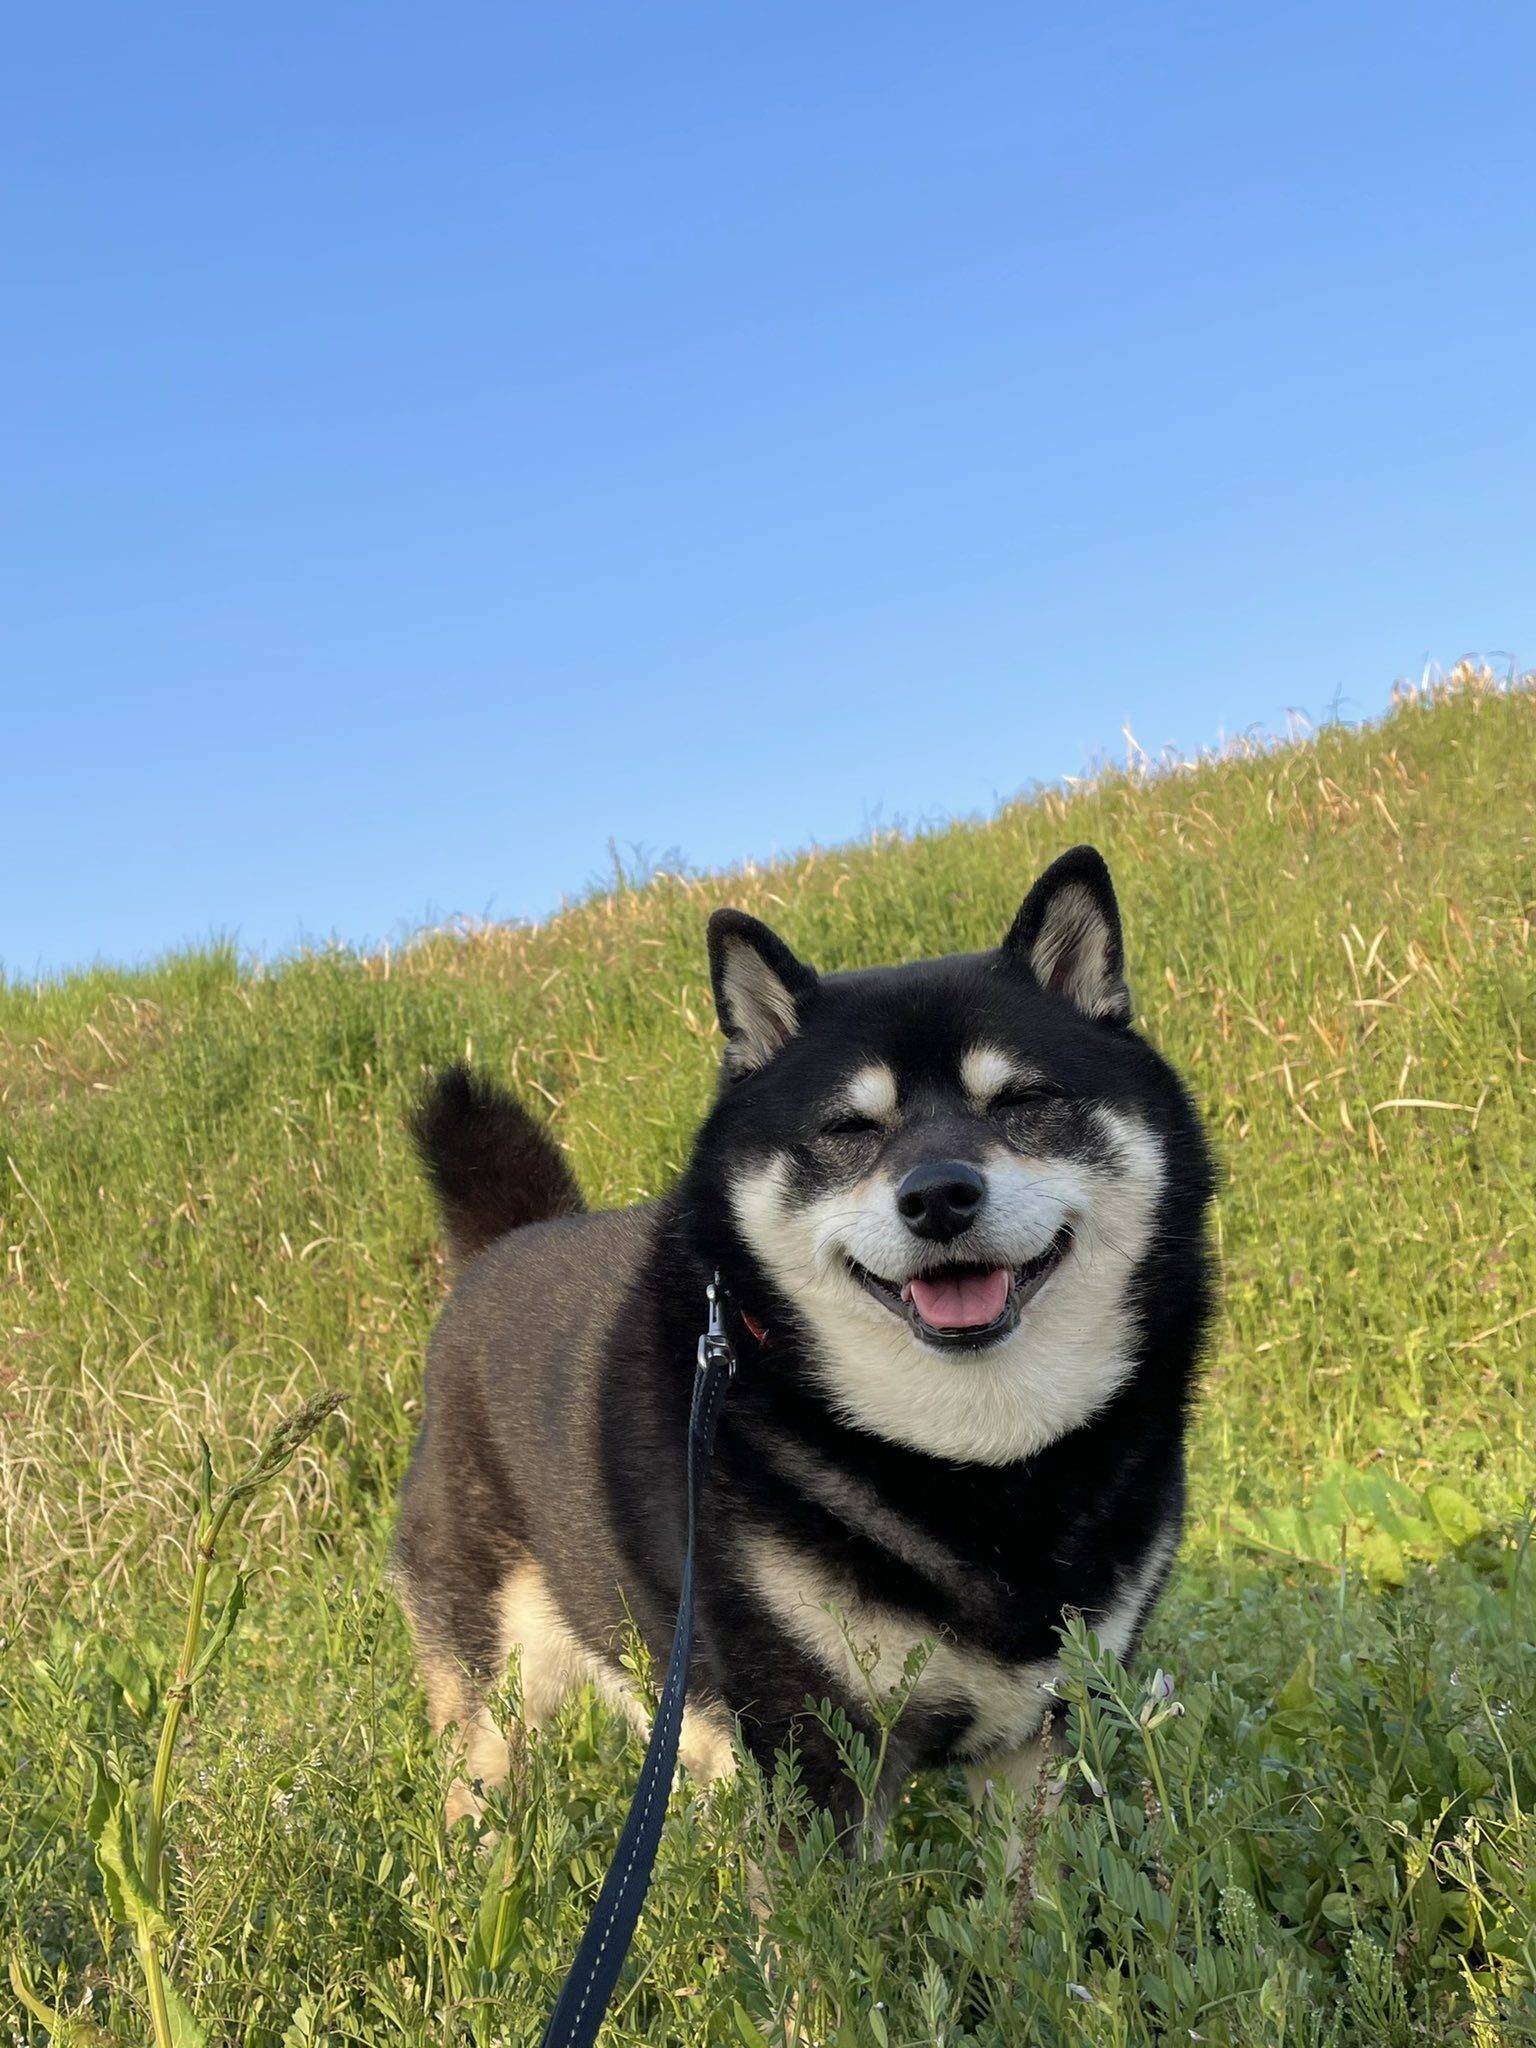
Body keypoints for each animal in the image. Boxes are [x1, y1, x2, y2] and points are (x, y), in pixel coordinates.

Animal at [393, 839, 1212, 1835]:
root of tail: (502, 1247)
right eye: (850, 1128)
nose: (939, 1196)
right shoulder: (811, 1746)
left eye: (1022, 1101)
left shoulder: (1047, 1732)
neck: (974, 1458)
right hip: (500, 1688)